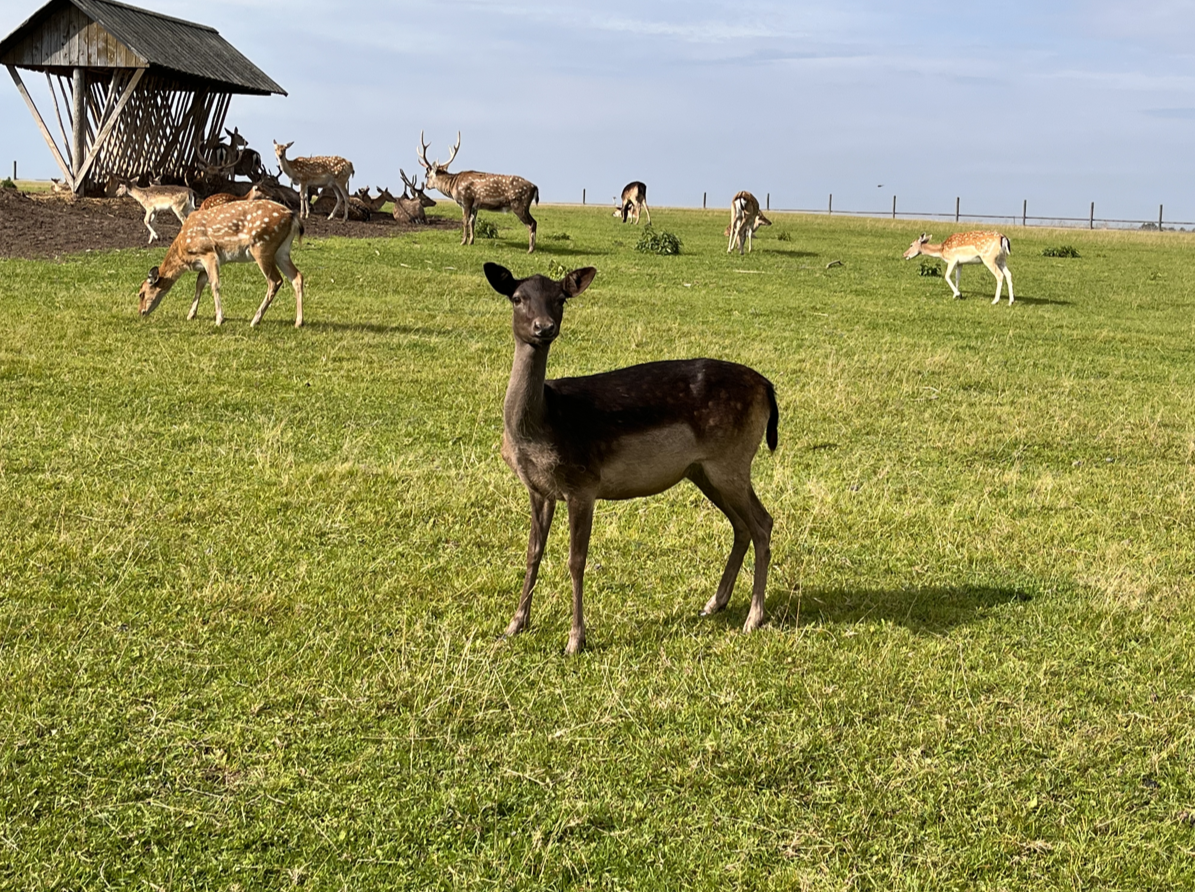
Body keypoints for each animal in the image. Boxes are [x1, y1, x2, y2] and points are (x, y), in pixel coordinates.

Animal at [136, 198, 305, 327]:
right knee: (297, 276)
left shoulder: (208, 253)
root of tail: (292, 216)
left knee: (275, 281)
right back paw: (298, 322)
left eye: (141, 293)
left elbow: (214, 284)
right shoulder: (204, 262)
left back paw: (255, 320)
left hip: (262, 246)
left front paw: (219, 320)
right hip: (281, 251)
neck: (184, 253)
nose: (141, 312)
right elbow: (200, 283)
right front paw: (191, 315)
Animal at [480, 260, 779, 650]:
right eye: (517, 297)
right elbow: (533, 553)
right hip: (703, 470)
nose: (544, 327)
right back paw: (714, 603)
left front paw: (575, 640)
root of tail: (768, 387)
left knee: (762, 522)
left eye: (560, 298)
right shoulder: (538, 488)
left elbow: (576, 560)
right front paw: (514, 625)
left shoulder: (583, 482)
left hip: (732, 460)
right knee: (741, 525)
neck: (542, 424)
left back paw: (753, 616)